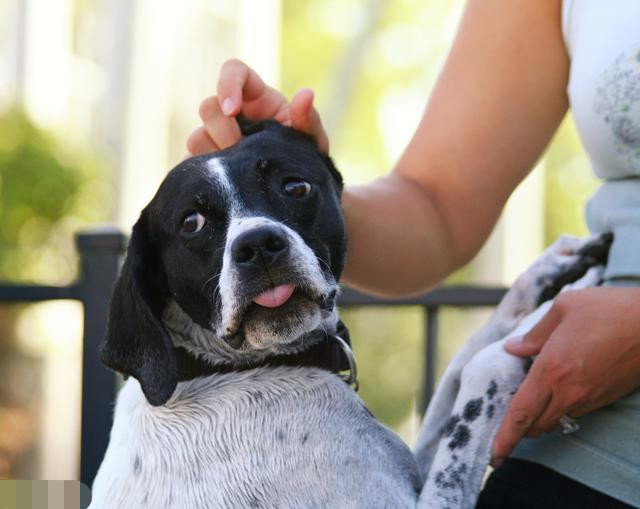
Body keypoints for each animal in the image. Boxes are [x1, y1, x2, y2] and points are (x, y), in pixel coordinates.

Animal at [91, 119, 608, 508]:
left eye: (294, 186)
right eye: (192, 222)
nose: (257, 246)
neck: (218, 370)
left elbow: (460, 366)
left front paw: (550, 275)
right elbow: (483, 368)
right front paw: (565, 305)